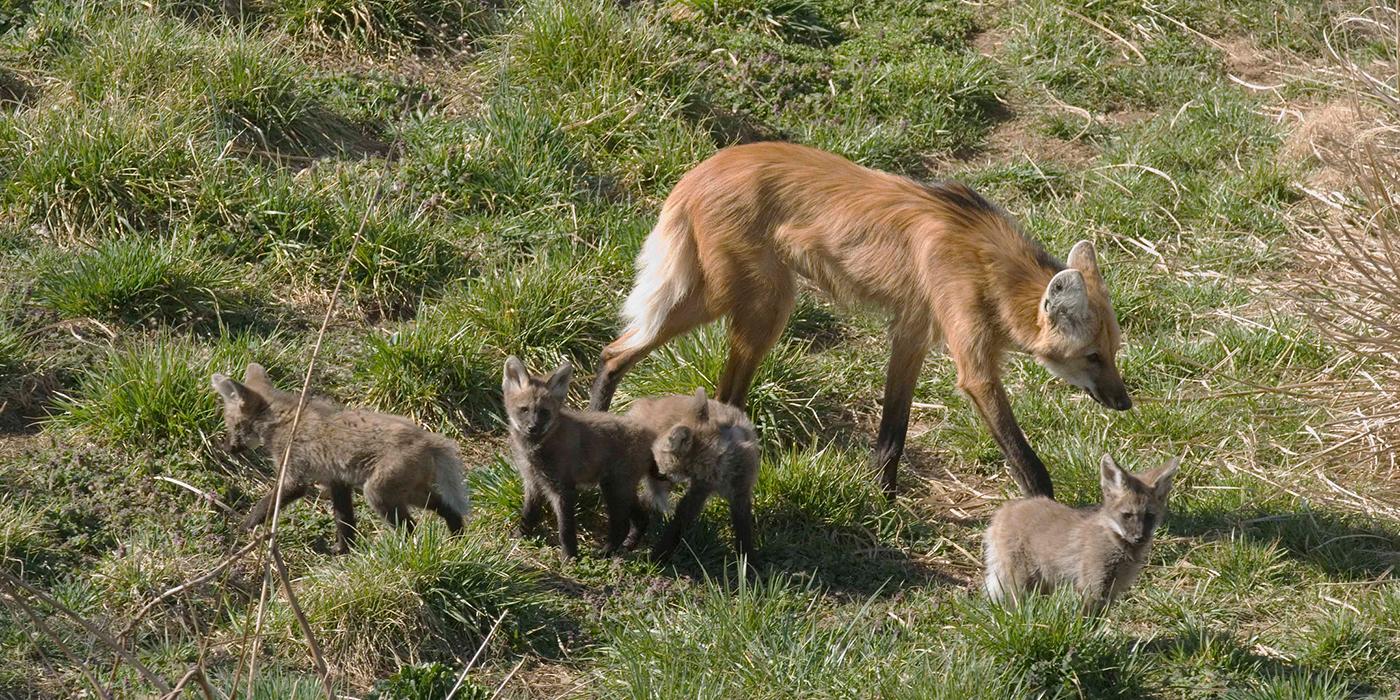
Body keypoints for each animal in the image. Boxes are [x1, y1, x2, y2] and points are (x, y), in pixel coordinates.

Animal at [207, 361, 470, 551]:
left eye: (232, 425)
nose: (226, 448)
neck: (283, 422)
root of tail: (430, 439)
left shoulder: (295, 480)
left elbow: (263, 507)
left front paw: (243, 527)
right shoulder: (338, 482)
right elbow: (345, 523)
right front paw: (343, 552)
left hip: (378, 493)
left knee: (411, 528)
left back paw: (407, 552)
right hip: (411, 493)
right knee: (449, 509)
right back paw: (457, 542)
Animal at [501, 358, 658, 560]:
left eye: (544, 412)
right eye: (524, 410)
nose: (532, 428)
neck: (536, 450)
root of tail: (650, 435)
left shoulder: (563, 488)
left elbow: (565, 529)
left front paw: (570, 557)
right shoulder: (532, 482)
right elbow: (529, 515)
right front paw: (519, 536)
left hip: (613, 487)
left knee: (621, 526)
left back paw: (606, 552)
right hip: (622, 488)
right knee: (642, 519)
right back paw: (628, 546)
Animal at [585, 142, 1131, 501]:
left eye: (1113, 354)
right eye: (1092, 357)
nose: (1125, 404)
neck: (988, 264)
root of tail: (698, 171)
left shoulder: (912, 333)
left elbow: (893, 433)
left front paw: (881, 497)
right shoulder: (973, 368)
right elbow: (1025, 460)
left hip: (732, 301)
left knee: (616, 352)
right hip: (761, 305)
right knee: (712, 386)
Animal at [627, 389, 761, 562]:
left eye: (656, 460)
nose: (653, 471)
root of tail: (644, 401)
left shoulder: (740, 492)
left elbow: (744, 532)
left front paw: (748, 562)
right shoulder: (699, 489)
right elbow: (678, 524)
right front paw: (658, 558)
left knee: (645, 501)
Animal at [985, 453, 1181, 613]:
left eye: (1149, 516)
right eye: (1127, 515)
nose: (1139, 538)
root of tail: (1005, 508)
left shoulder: (1112, 590)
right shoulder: (1093, 586)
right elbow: (1086, 624)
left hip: (1042, 583)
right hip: (1023, 582)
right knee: (1014, 607)